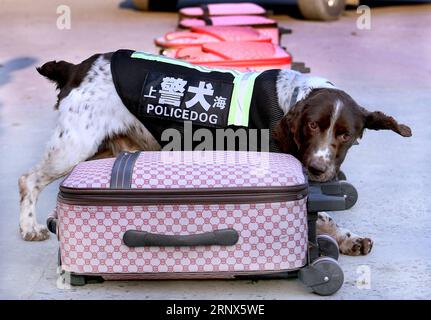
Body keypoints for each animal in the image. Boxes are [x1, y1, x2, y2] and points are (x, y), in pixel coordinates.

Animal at [18, 52, 414, 258]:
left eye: (346, 135)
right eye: (312, 126)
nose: (318, 168)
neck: (290, 100)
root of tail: (77, 67)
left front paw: (349, 238)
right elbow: (321, 215)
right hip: (73, 146)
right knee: (28, 179)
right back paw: (29, 228)